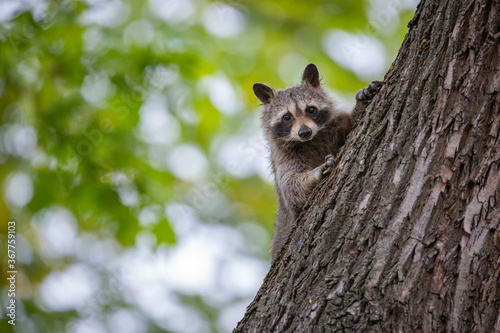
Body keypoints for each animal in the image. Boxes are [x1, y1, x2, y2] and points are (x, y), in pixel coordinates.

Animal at [254, 62, 382, 260]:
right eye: (287, 117)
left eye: (311, 109)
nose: (304, 132)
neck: (311, 141)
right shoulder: (284, 158)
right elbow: (292, 190)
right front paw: (317, 172)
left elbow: (352, 126)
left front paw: (361, 103)